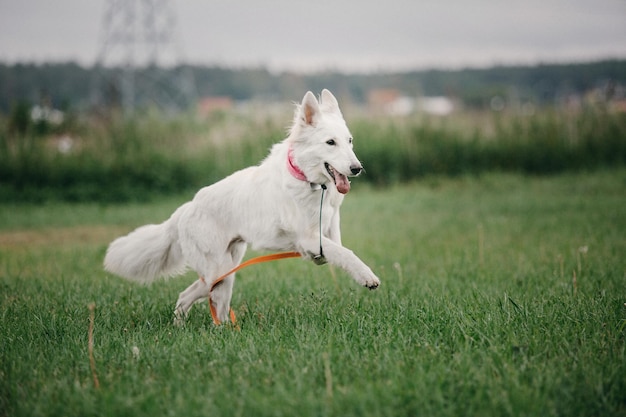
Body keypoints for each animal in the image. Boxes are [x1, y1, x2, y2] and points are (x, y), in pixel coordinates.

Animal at [104, 90, 378, 324]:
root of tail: (185, 209)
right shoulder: (308, 237)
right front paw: (367, 276)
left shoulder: (327, 228)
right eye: (330, 142)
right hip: (219, 271)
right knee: (192, 297)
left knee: (198, 300)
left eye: (350, 141)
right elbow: (345, 253)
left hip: (225, 273)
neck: (310, 182)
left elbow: (338, 248)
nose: (357, 168)